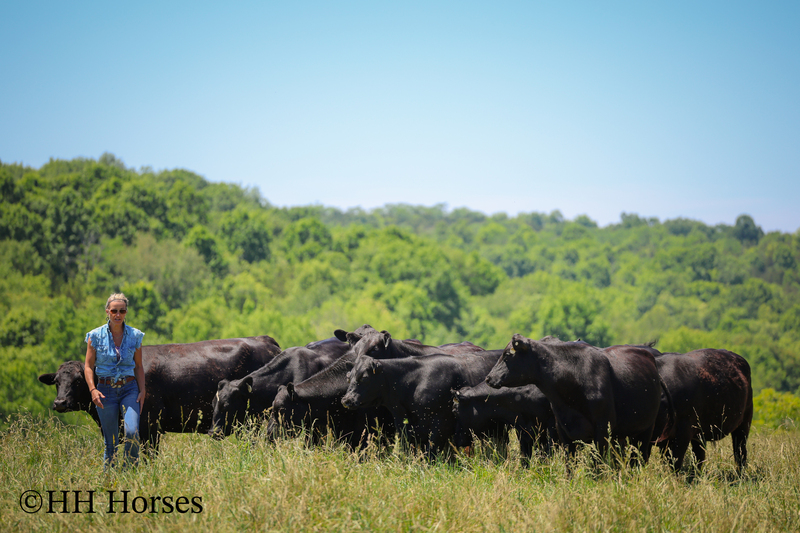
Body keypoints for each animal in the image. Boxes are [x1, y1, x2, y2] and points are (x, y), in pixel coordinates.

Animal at [38, 335, 281, 451]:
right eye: (57, 382)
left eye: (79, 381)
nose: (60, 402)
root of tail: (263, 339)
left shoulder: (150, 426)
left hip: (251, 421)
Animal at [341, 350, 501, 457]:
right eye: (348, 378)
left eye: (365, 378)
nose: (346, 399)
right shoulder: (403, 426)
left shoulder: (441, 425)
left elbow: (430, 454)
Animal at [485, 334, 663, 465]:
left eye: (507, 355)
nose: (488, 378)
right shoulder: (564, 431)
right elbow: (570, 466)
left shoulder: (602, 431)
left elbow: (598, 465)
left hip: (645, 430)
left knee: (638, 460)